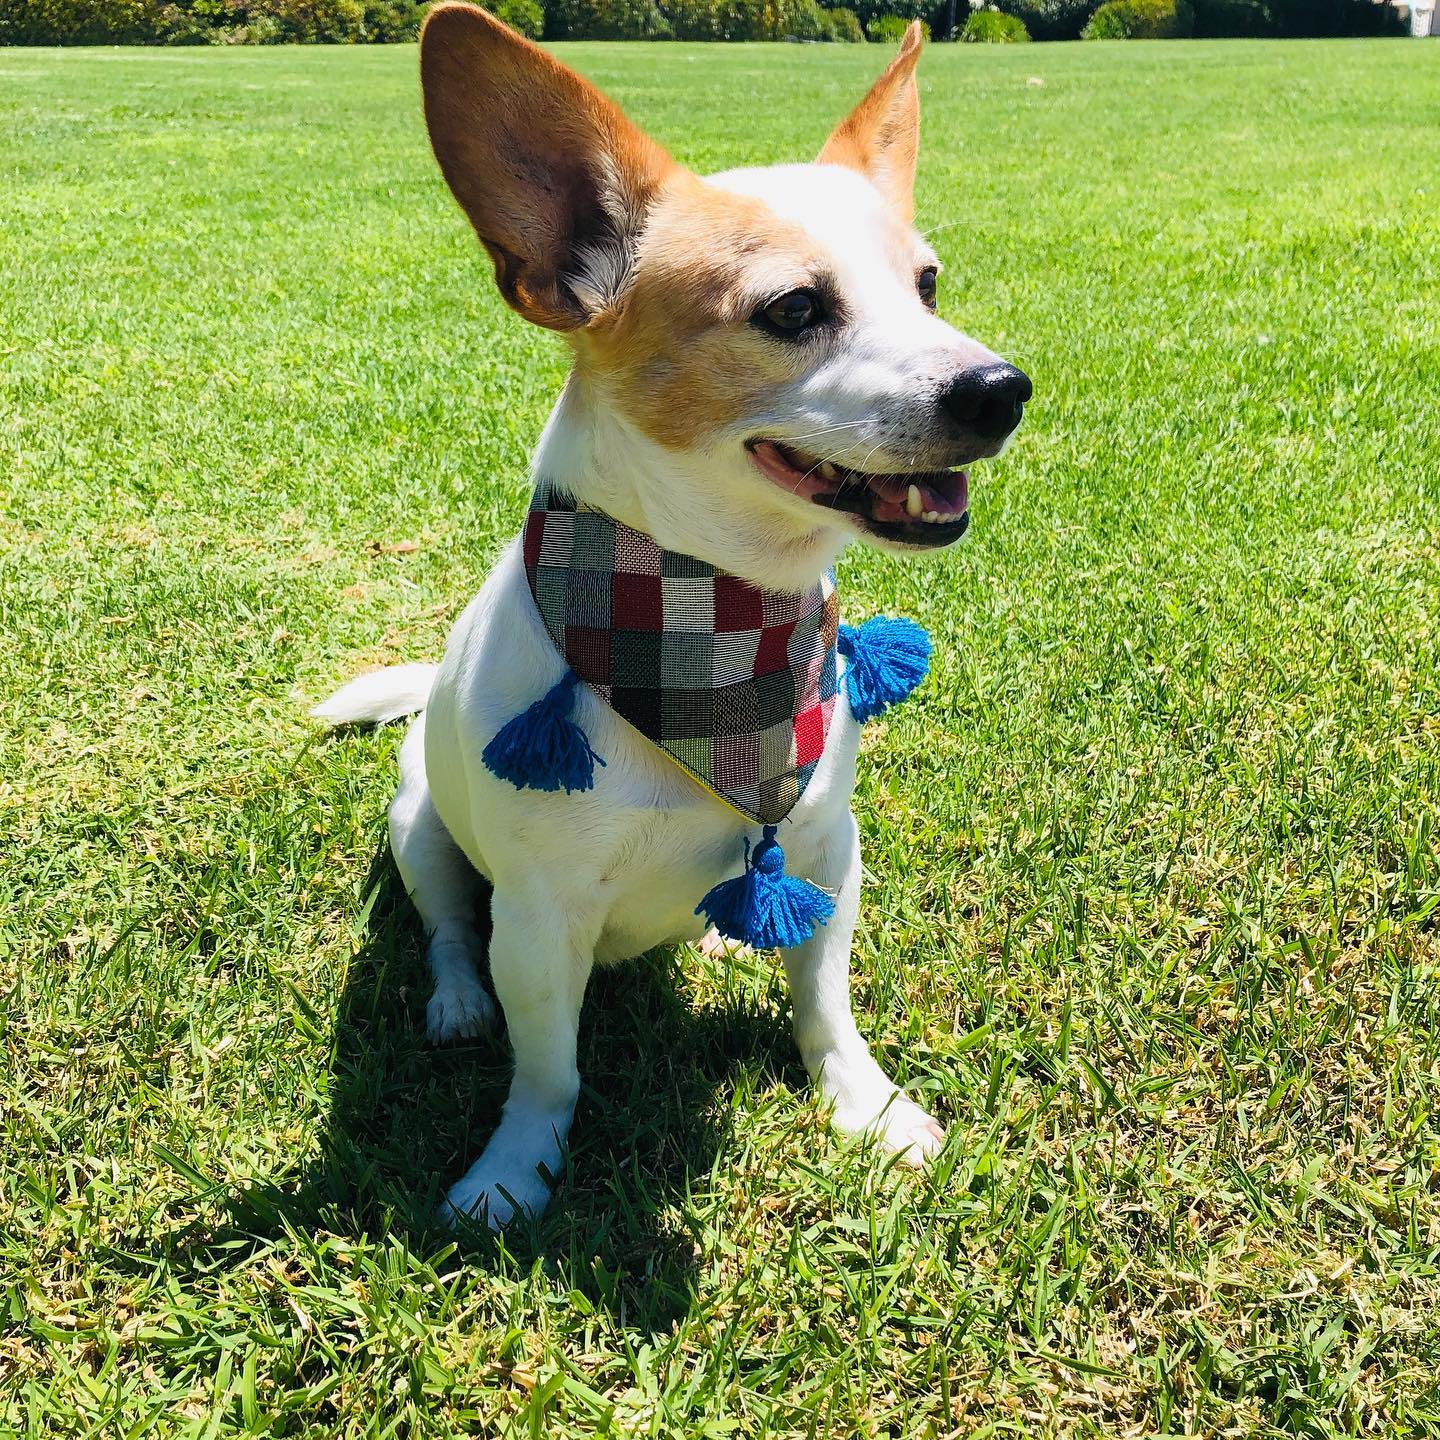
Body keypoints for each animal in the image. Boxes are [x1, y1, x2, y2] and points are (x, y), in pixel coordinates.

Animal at [315, 5, 1036, 1232]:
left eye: (930, 286)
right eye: (793, 309)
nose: (1001, 389)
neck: (718, 619)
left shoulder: (827, 848)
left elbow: (826, 1003)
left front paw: (867, 1106)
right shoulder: (539, 921)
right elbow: (547, 1066)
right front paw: (515, 1168)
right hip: (418, 827)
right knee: (451, 928)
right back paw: (456, 1002)